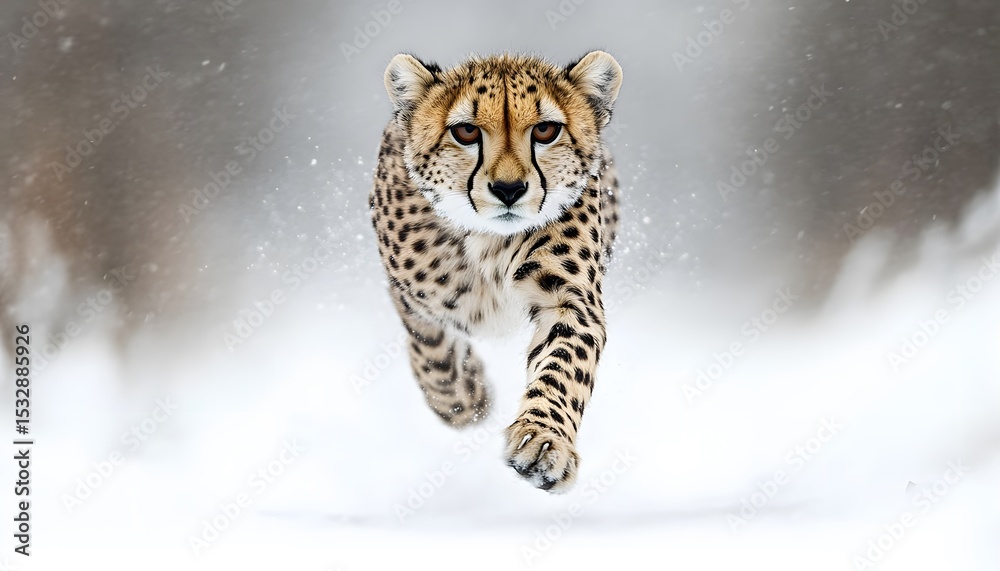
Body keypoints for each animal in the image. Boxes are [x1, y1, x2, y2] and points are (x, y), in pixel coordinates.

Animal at [369, 50, 623, 492]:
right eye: (466, 131)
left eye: (546, 130)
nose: (509, 190)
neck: (488, 238)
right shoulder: (411, 296)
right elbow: (434, 354)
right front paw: (468, 397)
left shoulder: (570, 300)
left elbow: (562, 366)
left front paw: (543, 441)